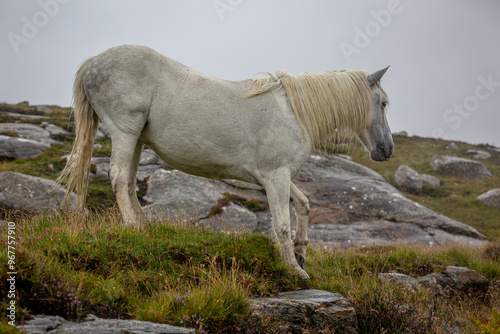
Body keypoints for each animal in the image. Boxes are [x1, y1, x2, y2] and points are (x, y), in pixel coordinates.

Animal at [57, 44, 394, 280]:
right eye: (384, 103)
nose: (387, 149)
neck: (293, 113)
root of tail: (95, 61)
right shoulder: (276, 177)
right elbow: (282, 224)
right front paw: (295, 270)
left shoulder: (275, 177)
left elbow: (304, 204)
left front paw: (300, 253)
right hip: (124, 133)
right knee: (118, 176)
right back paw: (132, 228)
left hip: (137, 140)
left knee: (127, 181)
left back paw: (143, 226)